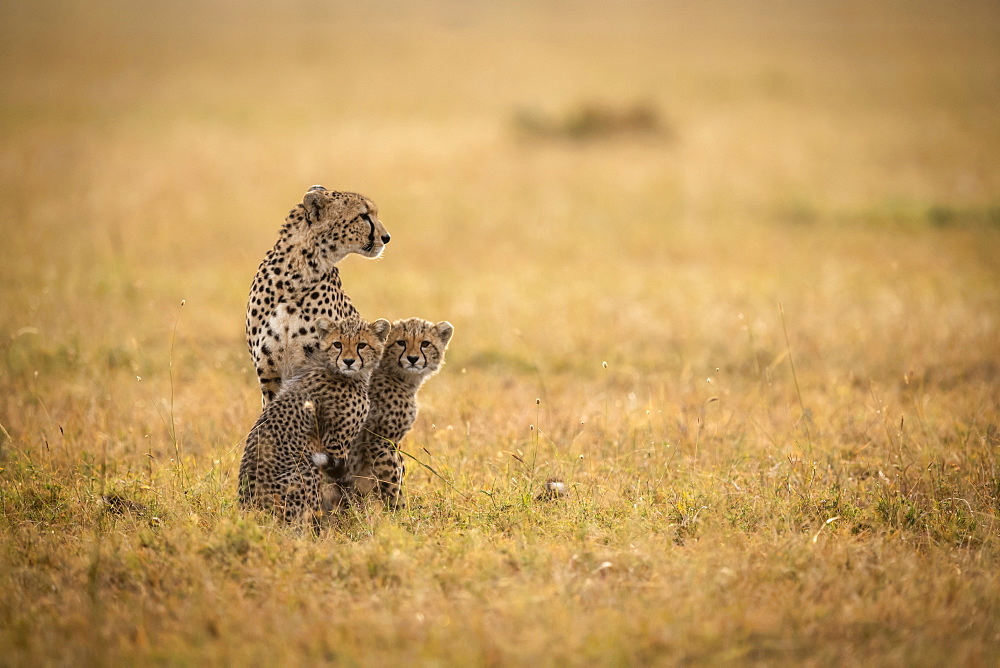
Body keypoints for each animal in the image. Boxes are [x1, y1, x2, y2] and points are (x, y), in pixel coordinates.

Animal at [238, 318, 390, 528]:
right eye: (337, 344)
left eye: (362, 345)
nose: (348, 361)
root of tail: (248, 507)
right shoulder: (335, 443)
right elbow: (335, 484)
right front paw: (344, 517)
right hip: (305, 469)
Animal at [346, 318, 452, 506]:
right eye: (401, 342)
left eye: (425, 343)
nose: (413, 358)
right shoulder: (380, 442)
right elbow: (391, 481)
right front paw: (399, 510)